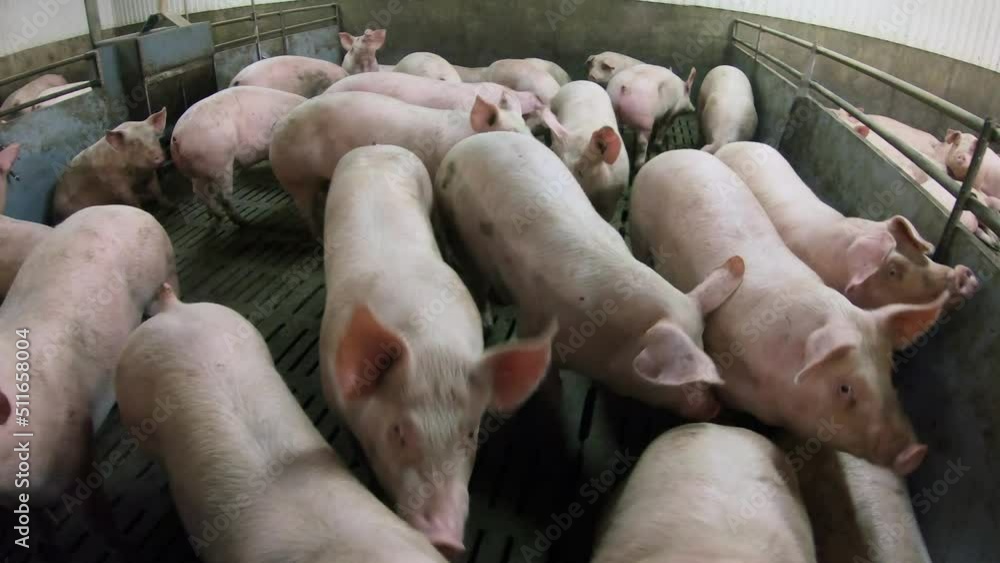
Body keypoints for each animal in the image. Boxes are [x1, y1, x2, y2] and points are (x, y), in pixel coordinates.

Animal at [171, 86, 306, 225]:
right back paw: (243, 221)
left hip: (195, 172)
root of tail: (177, 137)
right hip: (220, 164)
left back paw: (217, 216)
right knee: (224, 197)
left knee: (200, 192)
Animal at [435, 132, 745, 419]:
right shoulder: (533, 324)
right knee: (475, 280)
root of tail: (469, 141)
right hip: (455, 229)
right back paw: (487, 321)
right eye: (672, 377)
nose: (714, 409)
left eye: (702, 342)